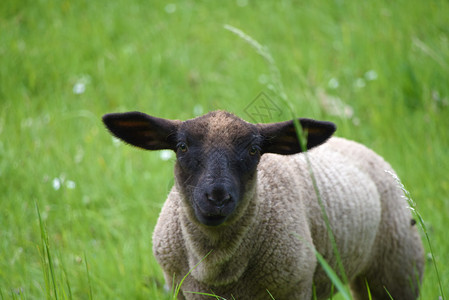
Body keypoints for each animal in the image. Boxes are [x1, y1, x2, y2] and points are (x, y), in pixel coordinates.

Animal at [101, 110, 424, 300]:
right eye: (182, 147)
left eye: (254, 150)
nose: (217, 197)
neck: (216, 269)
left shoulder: (293, 289)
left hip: (397, 270)